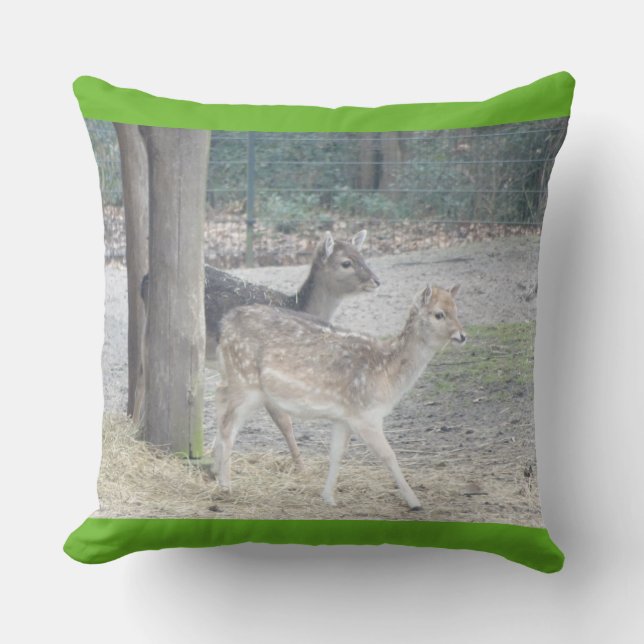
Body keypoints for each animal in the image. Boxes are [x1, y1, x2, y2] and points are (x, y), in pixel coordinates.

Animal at [212, 283, 466, 510]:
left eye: (457, 309)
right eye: (439, 314)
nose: (462, 335)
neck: (386, 374)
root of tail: (225, 324)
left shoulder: (344, 417)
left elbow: (336, 454)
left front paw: (328, 497)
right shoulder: (366, 415)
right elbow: (388, 455)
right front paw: (414, 502)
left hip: (237, 381)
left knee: (220, 404)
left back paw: (217, 475)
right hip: (245, 382)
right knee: (228, 427)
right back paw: (226, 486)